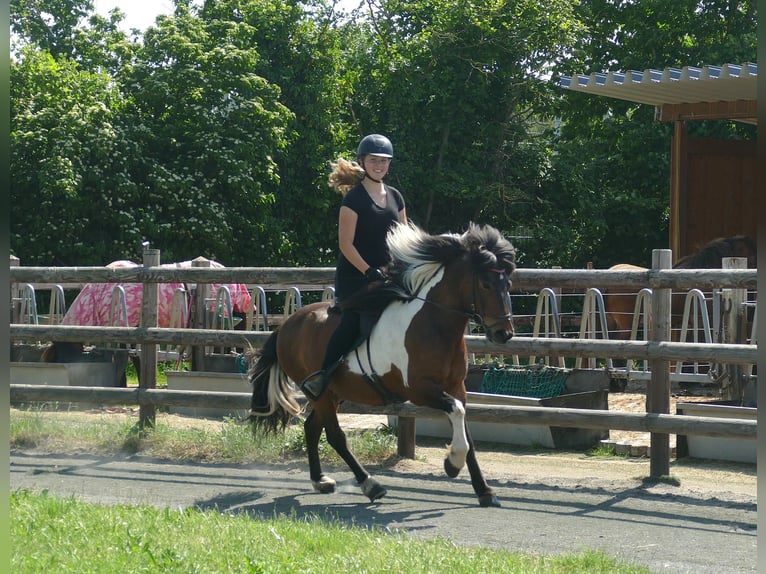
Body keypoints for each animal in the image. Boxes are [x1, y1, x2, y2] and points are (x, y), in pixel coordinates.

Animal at [247, 222, 516, 507]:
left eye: (507, 283)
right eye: (486, 284)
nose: (503, 334)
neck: (434, 324)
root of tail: (286, 325)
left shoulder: (457, 388)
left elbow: (466, 429)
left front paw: (484, 491)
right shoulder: (419, 391)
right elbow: (456, 412)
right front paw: (452, 464)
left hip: (333, 393)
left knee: (312, 428)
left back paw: (320, 480)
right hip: (319, 393)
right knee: (335, 436)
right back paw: (370, 484)